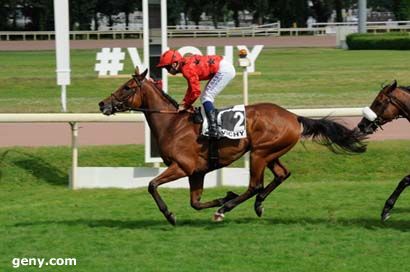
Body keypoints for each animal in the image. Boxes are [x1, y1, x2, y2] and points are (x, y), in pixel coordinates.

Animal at [98, 68, 366, 225]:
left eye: (127, 87)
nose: (102, 104)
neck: (172, 124)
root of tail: (293, 116)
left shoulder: (182, 167)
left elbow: (152, 185)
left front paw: (170, 215)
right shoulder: (197, 172)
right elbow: (195, 203)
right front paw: (223, 196)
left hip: (259, 153)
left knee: (255, 185)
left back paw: (226, 209)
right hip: (270, 153)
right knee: (281, 174)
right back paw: (256, 205)